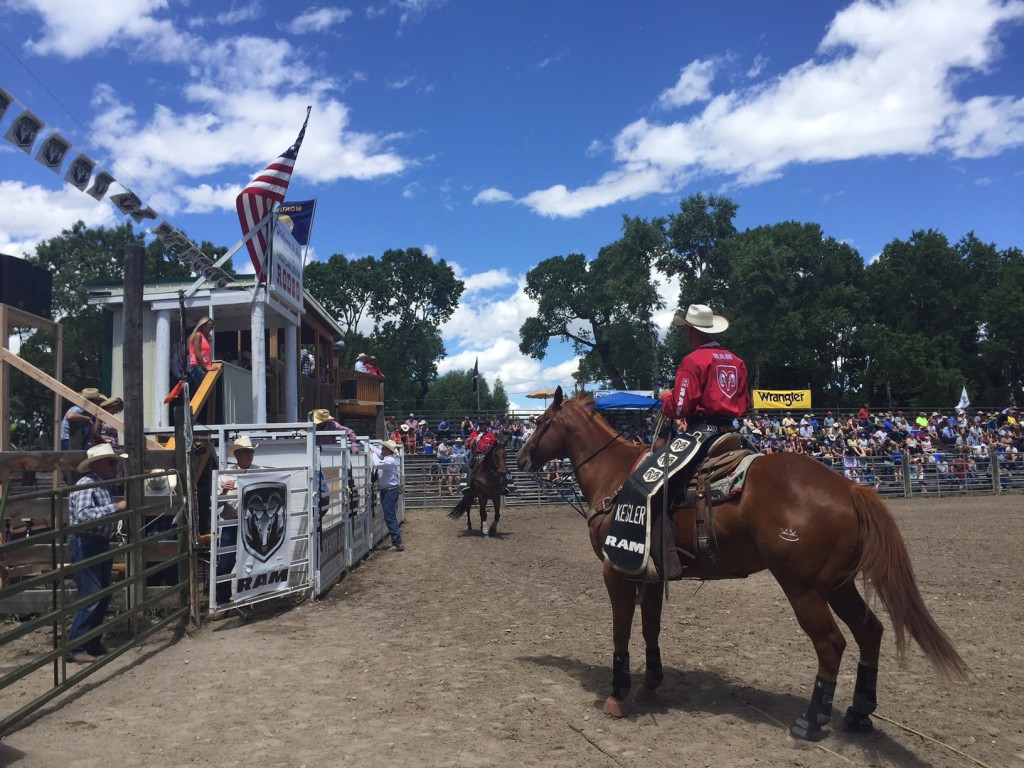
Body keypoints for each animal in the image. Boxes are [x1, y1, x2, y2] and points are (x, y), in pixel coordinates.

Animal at [520, 387, 966, 741]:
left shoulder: (617, 570)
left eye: (541, 421)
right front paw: (650, 684)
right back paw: (858, 714)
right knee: (870, 630)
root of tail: (849, 486)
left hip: (804, 588)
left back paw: (811, 720)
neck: (615, 476)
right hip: (839, 584)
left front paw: (618, 694)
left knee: (831, 643)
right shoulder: (652, 574)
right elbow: (650, 627)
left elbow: (621, 631)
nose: (522, 457)